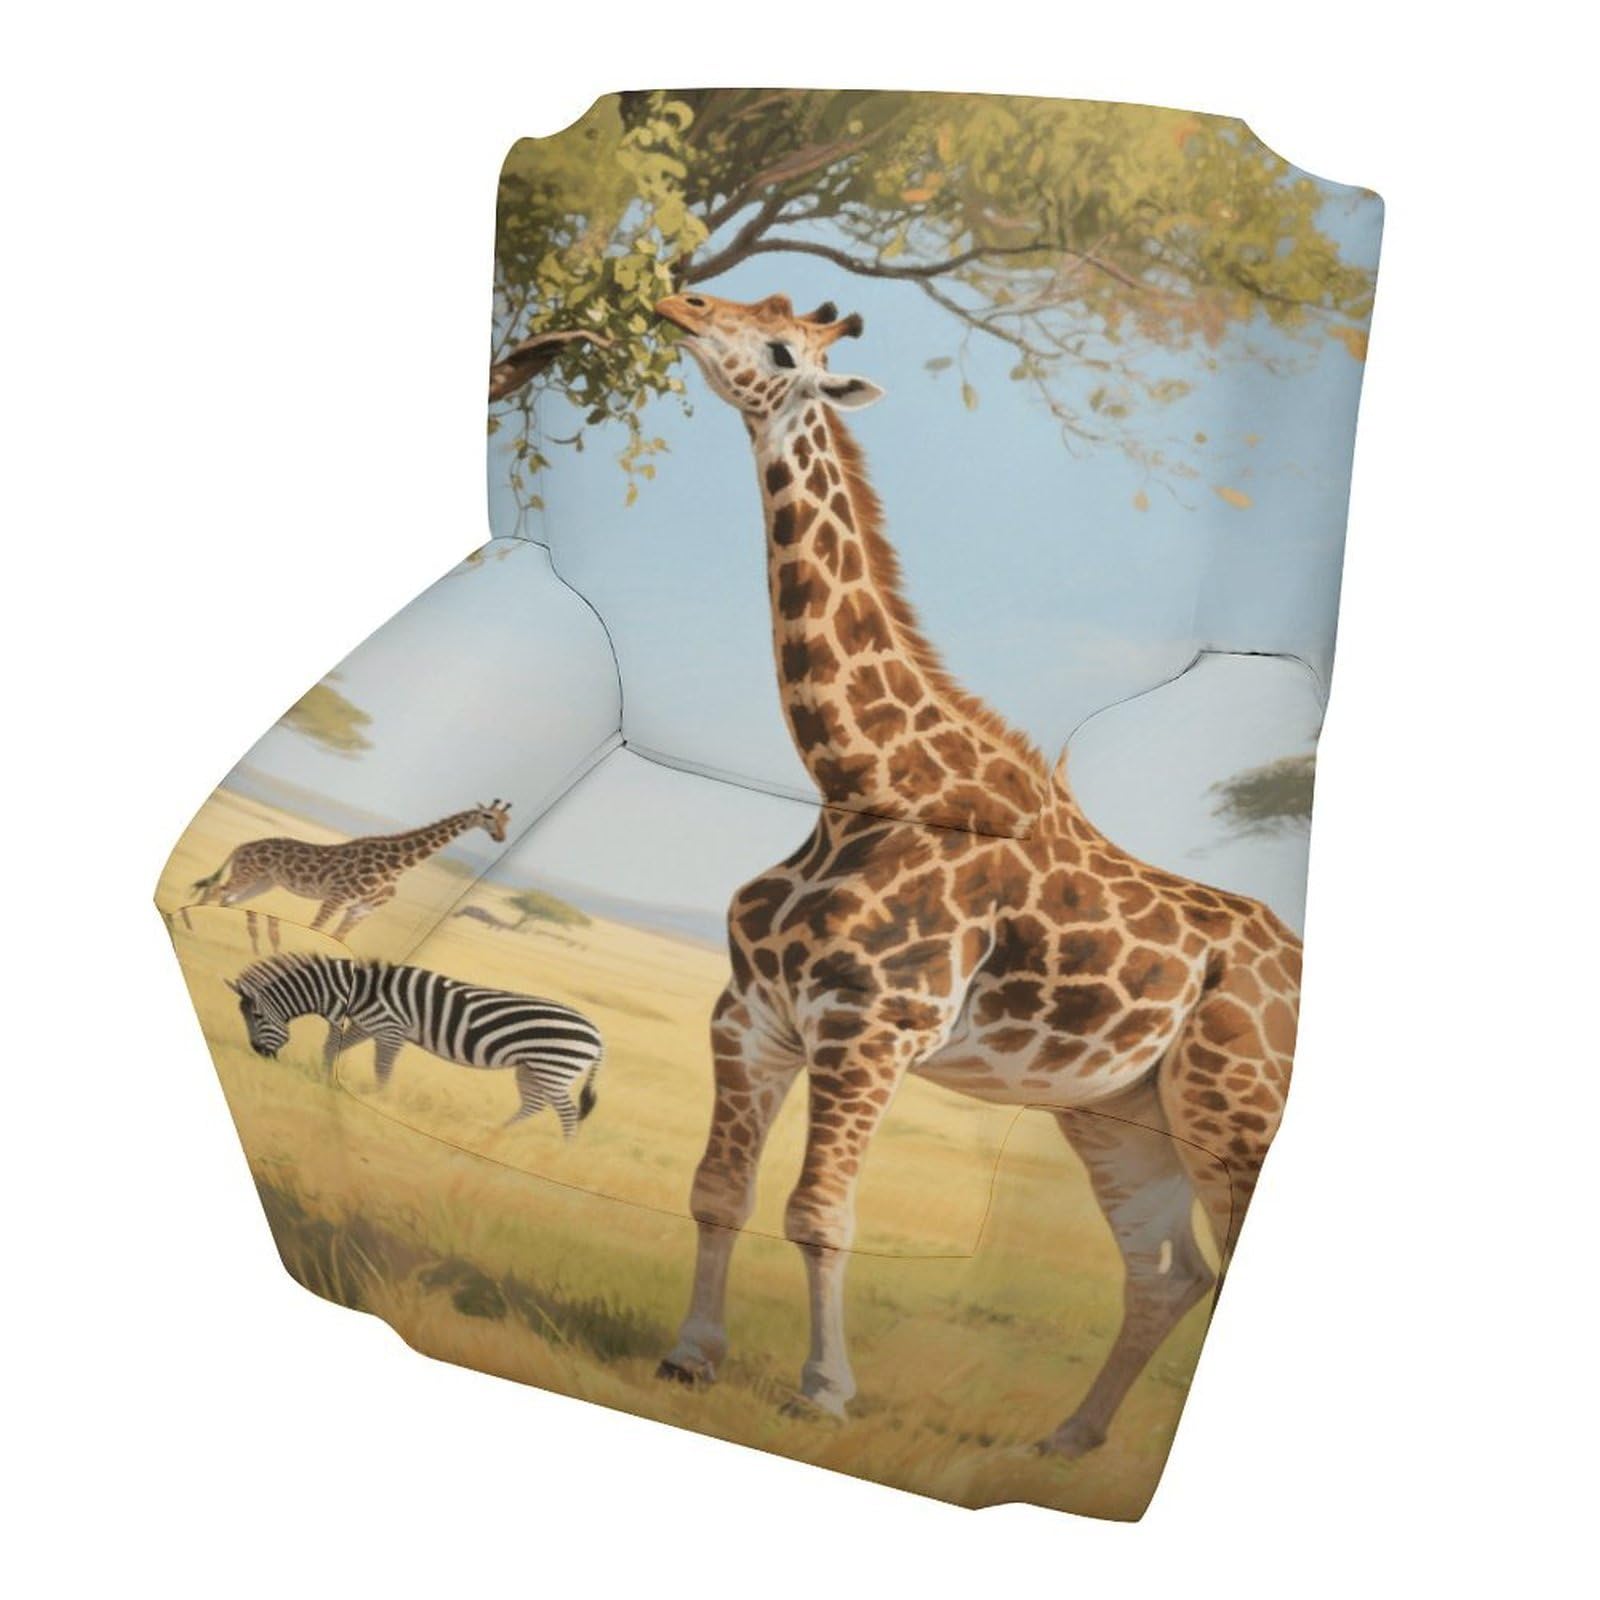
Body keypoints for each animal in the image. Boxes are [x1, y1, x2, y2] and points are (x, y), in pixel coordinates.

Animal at [190, 801, 512, 949]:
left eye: (506, 820)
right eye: (487, 816)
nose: (500, 838)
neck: (397, 865)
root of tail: (241, 846)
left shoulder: (360, 909)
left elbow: (338, 939)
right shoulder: (336, 898)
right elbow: (316, 930)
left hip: (263, 882)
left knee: (229, 899)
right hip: (247, 874)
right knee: (217, 891)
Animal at [651, 290, 1302, 1456]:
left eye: (779, 348)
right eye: (756, 307)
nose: (680, 300)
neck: (861, 779)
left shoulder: (871, 1026)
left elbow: (820, 1213)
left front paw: (825, 1391)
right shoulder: (751, 1012)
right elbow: (718, 1188)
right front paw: (689, 1355)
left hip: (1234, 1115)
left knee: (1218, 1274)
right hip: (1119, 1115)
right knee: (1167, 1271)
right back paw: (1067, 1441)